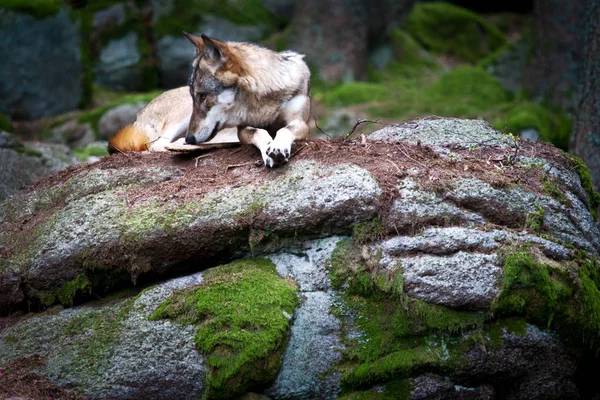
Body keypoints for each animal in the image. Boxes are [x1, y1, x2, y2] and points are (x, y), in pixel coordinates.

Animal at [108, 32, 312, 167]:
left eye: (203, 96)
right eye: (196, 96)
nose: (190, 138)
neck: (263, 101)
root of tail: (140, 112)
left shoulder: (300, 122)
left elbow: (285, 129)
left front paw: (277, 146)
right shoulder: (243, 128)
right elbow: (259, 132)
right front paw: (269, 150)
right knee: (158, 144)